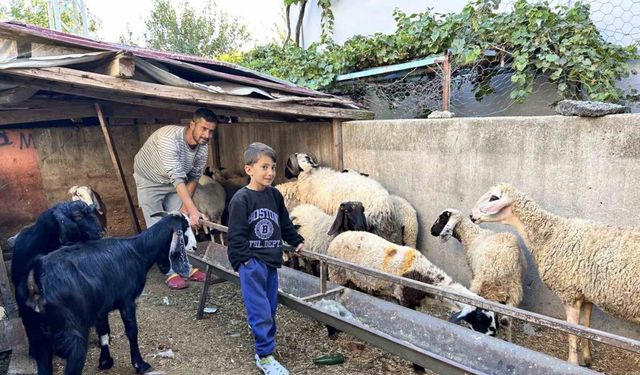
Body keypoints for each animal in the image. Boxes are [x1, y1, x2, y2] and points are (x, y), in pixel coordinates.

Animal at [18, 213, 196, 374]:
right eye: (186, 227)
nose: (194, 247)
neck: (138, 250)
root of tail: (36, 278)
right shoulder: (127, 300)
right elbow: (132, 331)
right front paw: (140, 365)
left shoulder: (101, 307)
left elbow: (104, 332)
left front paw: (105, 362)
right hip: (73, 335)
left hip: (38, 338)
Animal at [328, 231, 498, 336]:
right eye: (481, 318)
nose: (493, 334)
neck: (428, 278)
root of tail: (338, 237)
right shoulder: (404, 298)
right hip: (337, 272)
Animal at [430, 209, 524, 344]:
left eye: (441, 218)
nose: (431, 231)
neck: (472, 235)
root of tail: (505, 263)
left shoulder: (474, 274)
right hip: (514, 292)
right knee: (506, 321)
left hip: (484, 284)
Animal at [470, 184, 640, 368]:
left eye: (494, 198)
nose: (471, 216)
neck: (551, 234)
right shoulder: (586, 295)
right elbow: (586, 327)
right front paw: (587, 359)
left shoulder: (569, 293)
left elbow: (572, 330)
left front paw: (572, 363)